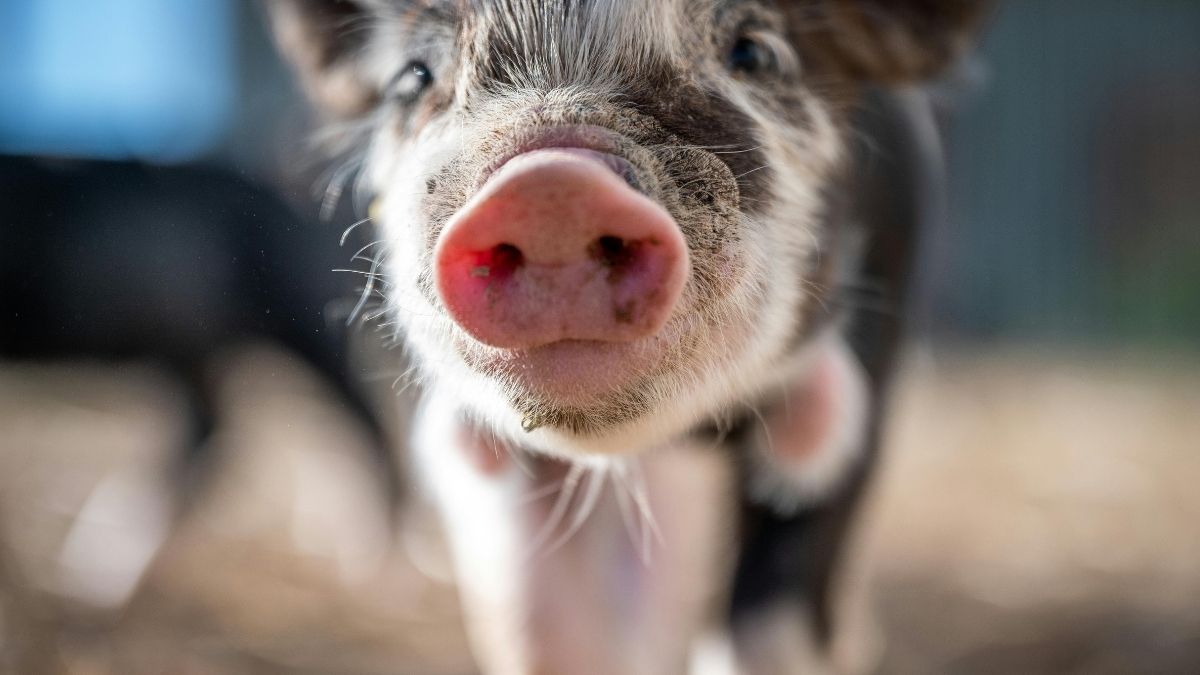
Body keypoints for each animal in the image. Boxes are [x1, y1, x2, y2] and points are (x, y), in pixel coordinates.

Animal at [266, 1, 987, 673]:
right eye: (415, 76)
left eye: (754, 52)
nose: (550, 187)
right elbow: (540, 626)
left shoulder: (874, 357)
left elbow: (769, 621)